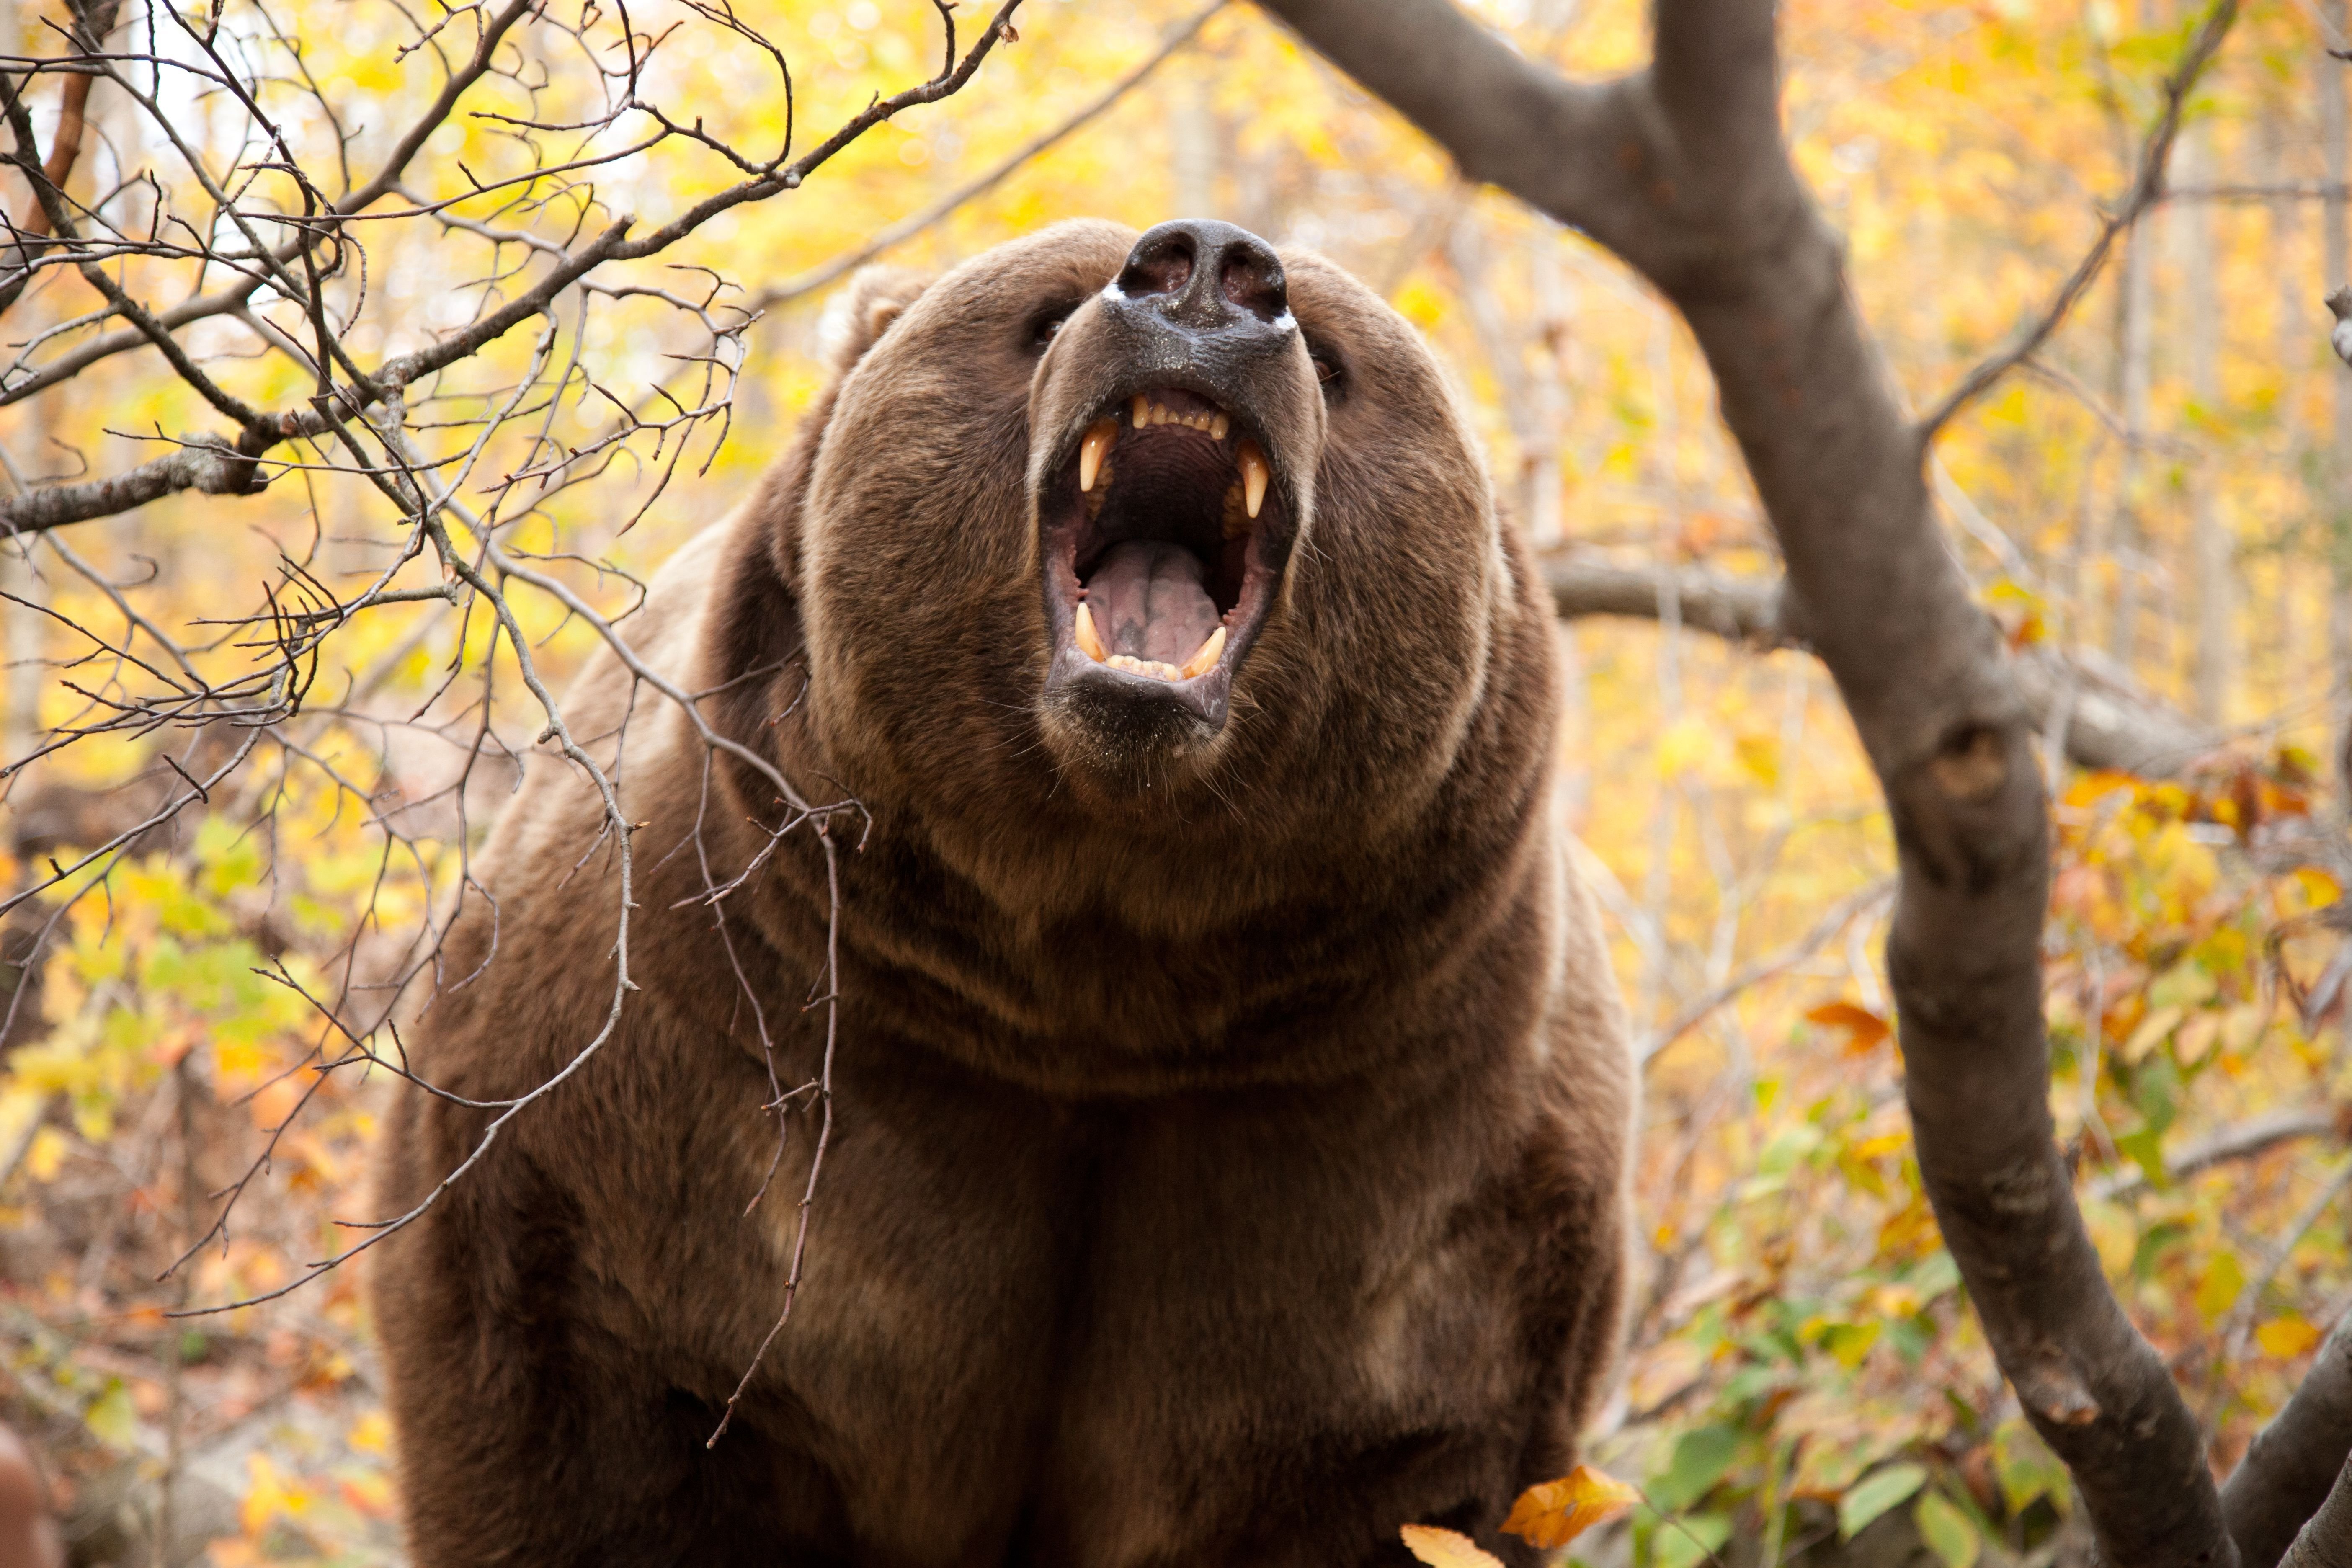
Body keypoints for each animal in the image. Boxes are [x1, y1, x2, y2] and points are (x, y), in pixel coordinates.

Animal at [376, 217, 1646, 1568]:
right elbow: (582, 1442)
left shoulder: (1398, 1171)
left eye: (1341, 361)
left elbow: (1385, 1474)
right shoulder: (675, 1101)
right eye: (1045, 311)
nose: (1206, 274)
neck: (1089, 979)